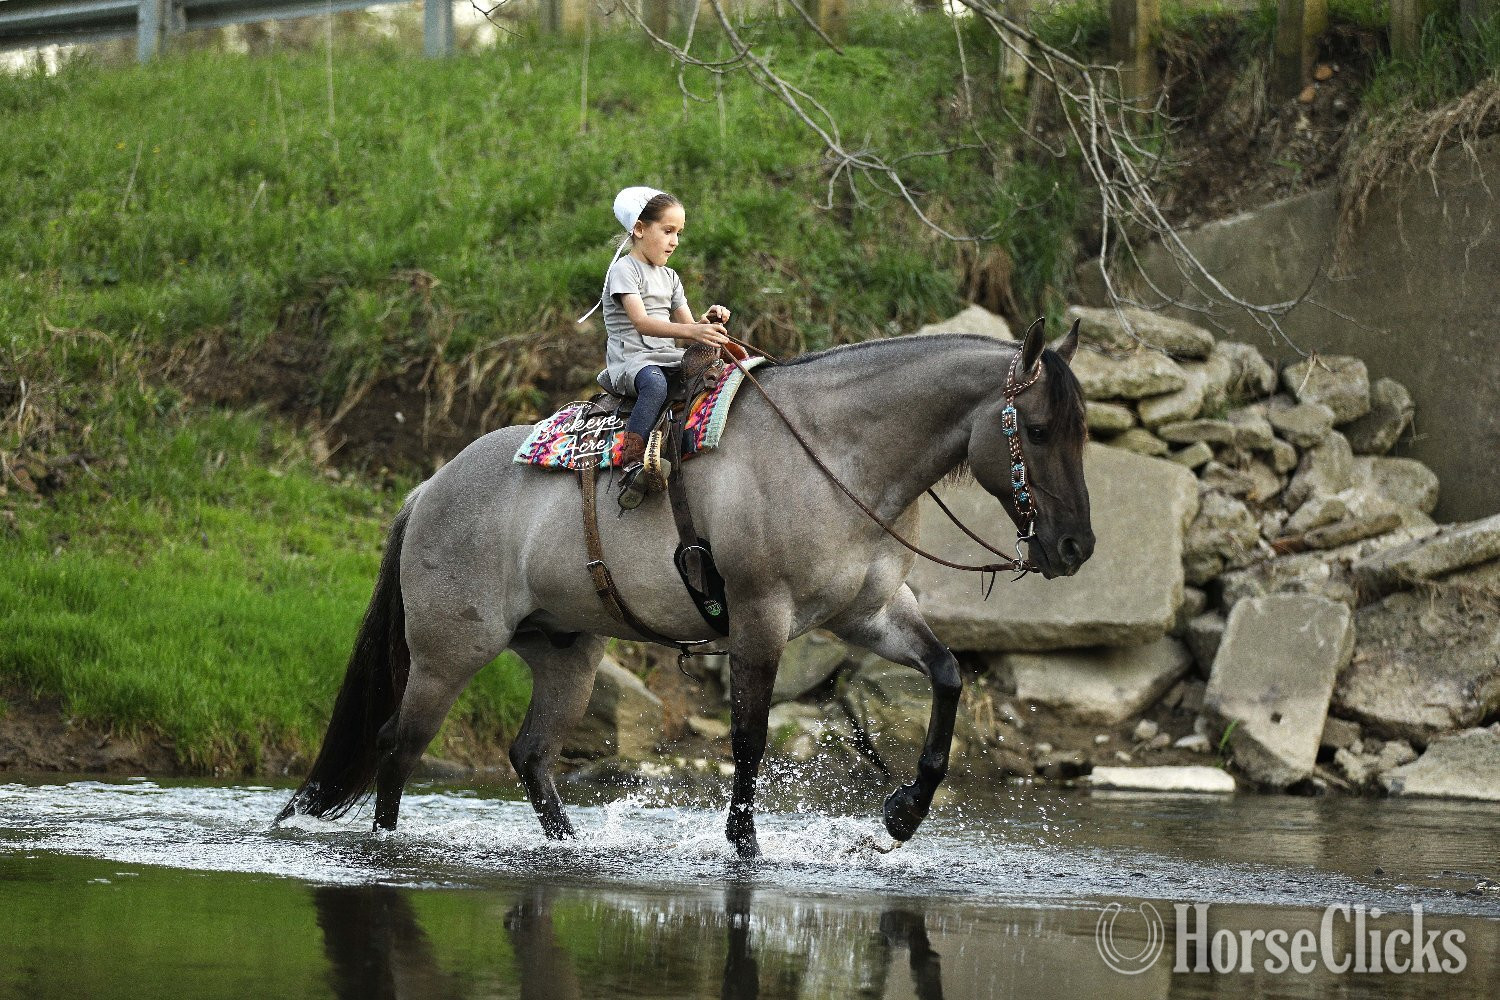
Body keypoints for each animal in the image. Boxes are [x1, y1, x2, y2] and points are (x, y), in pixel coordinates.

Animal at [276, 320, 1093, 858]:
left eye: (1081, 432)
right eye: (1040, 429)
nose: (1075, 547)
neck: (834, 454)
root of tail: (427, 491)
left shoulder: (869, 614)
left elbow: (949, 674)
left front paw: (901, 815)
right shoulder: (762, 617)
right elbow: (749, 736)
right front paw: (745, 846)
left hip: (565, 654)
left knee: (531, 756)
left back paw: (571, 846)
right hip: (450, 654)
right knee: (398, 744)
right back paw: (387, 846)